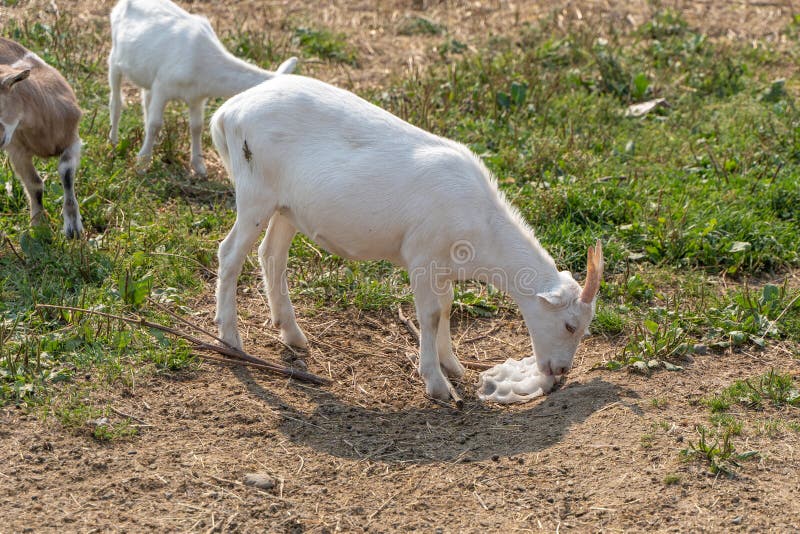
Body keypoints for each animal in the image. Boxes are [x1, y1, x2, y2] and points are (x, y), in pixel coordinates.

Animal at [0, 37, 83, 238]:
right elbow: (35, 184)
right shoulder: (17, 150)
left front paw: (73, 229)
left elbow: (66, 172)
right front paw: (39, 227)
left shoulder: (73, 139)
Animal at [107, 0, 298, 176]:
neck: (203, 66)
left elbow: (197, 126)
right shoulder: (163, 85)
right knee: (116, 101)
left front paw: (199, 166)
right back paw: (113, 141)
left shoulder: (197, 98)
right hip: (115, 57)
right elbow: (156, 124)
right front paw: (142, 163)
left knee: (146, 98)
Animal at [210, 74, 604, 402]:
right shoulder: (422, 256)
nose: (561, 370)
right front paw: (436, 383)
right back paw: (231, 338)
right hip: (255, 194)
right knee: (230, 253)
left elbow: (446, 308)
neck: (483, 225)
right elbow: (429, 315)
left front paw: (453, 365)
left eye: (584, 329)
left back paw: (292, 333)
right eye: (569, 325)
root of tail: (228, 112)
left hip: (286, 207)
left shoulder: (444, 265)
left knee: (271, 254)